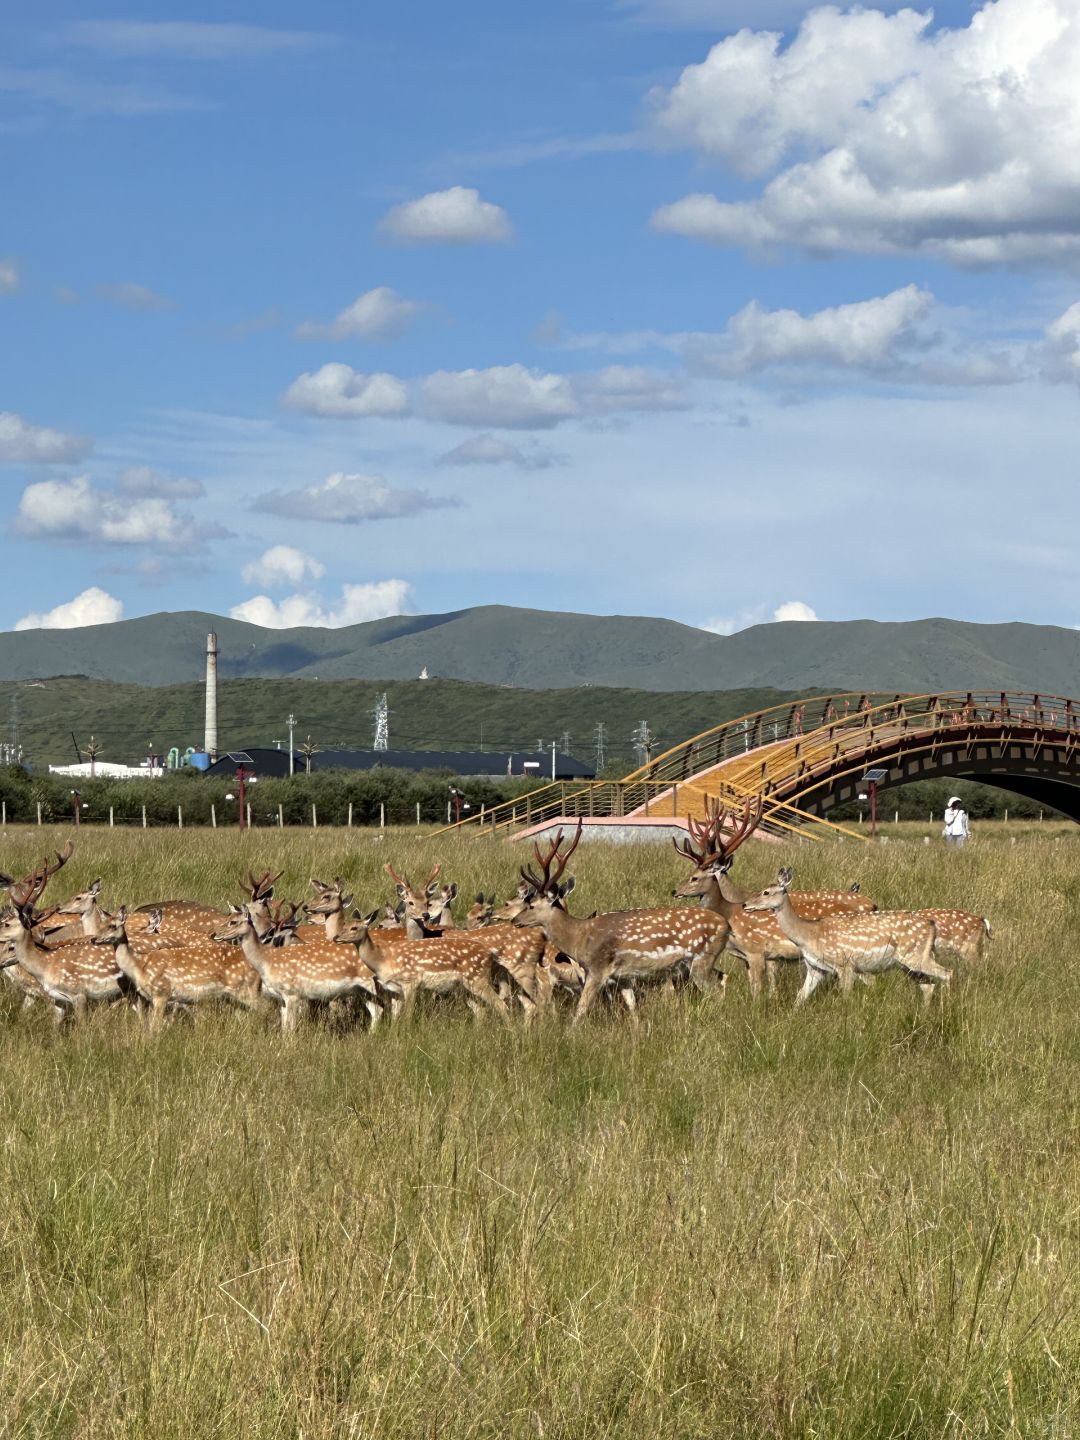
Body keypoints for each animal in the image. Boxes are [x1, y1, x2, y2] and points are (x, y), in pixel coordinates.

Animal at [92, 907, 261, 1030]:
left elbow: (155, 1026)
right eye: (99, 925)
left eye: (113, 926)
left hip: (246, 990)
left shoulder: (162, 992)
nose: (93, 938)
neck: (140, 965)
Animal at [212, 902, 381, 1033]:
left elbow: (291, 1027)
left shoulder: (292, 993)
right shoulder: (281, 997)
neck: (267, 960)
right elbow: (284, 1026)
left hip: (370, 984)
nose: (214, 934)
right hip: (361, 990)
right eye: (227, 917)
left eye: (233, 922)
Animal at [511, 823, 728, 1026]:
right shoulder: (623, 976)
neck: (579, 939)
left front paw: (570, 1034)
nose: (515, 921)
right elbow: (632, 1006)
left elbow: (581, 1008)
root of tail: (725, 925)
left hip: (701, 959)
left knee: (717, 991)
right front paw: (638, 1032)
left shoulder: (597, 969)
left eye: (530, 905)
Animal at [743, 867, 952, 1006]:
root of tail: (931, 926)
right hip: (908, 963)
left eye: (766, 892)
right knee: (928, 985)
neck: (809, 935)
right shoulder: (816, 968)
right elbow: (800, 996)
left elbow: (845, 998)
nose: (745, 904)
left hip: (915, 956)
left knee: (947, 973)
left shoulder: (845, 964)